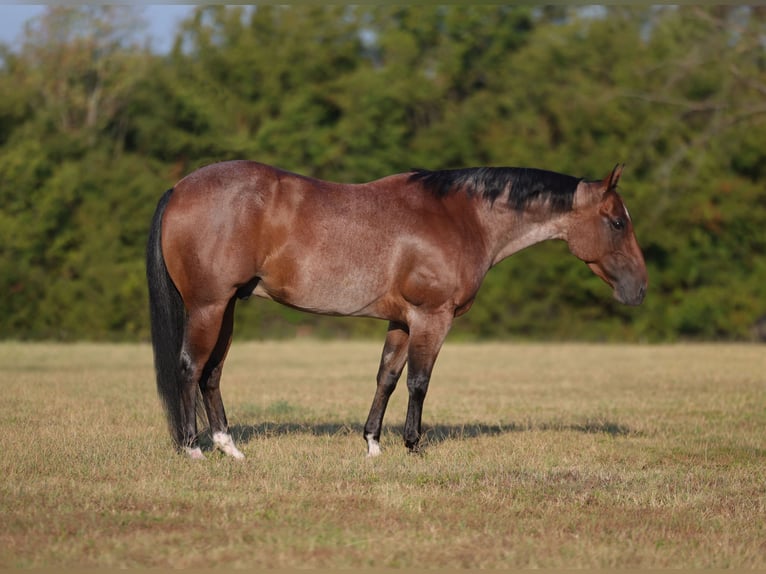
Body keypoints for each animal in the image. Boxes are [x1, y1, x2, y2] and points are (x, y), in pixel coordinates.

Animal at [146, 161, 647, 459]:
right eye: (616, 222)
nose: (640, 289)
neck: (460, 217)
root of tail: (178, 188)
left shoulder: (401, 321)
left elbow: (386, 377)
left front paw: (373, 444)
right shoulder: (431, 317)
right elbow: (419, 382)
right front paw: (413, 445)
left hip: (228, 307)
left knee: (212, 373)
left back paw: (229, 447)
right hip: (209, 306)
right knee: (190, 367)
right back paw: (193, 448)